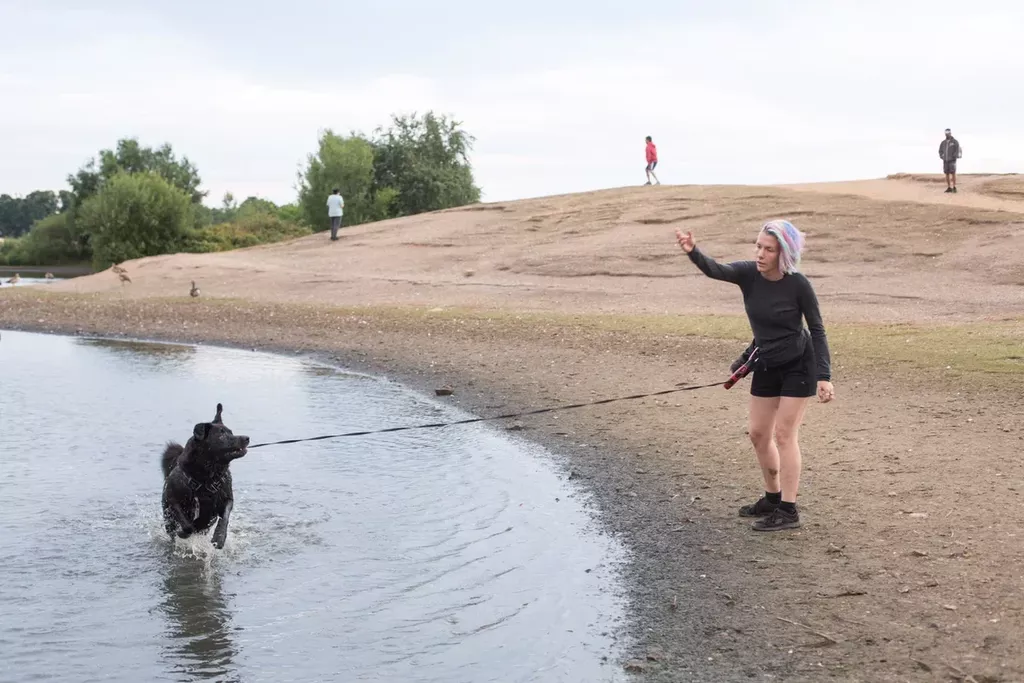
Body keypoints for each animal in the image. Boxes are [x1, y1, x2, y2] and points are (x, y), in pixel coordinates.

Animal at [165, 403, 251, 548]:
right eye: (221, 435)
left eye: (231, 432)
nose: (246, 438)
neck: (208, 477)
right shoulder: (172, 499)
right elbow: (186, 524)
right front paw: (182, 533)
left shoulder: (227, 499)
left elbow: (224, 518)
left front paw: (220, 537)